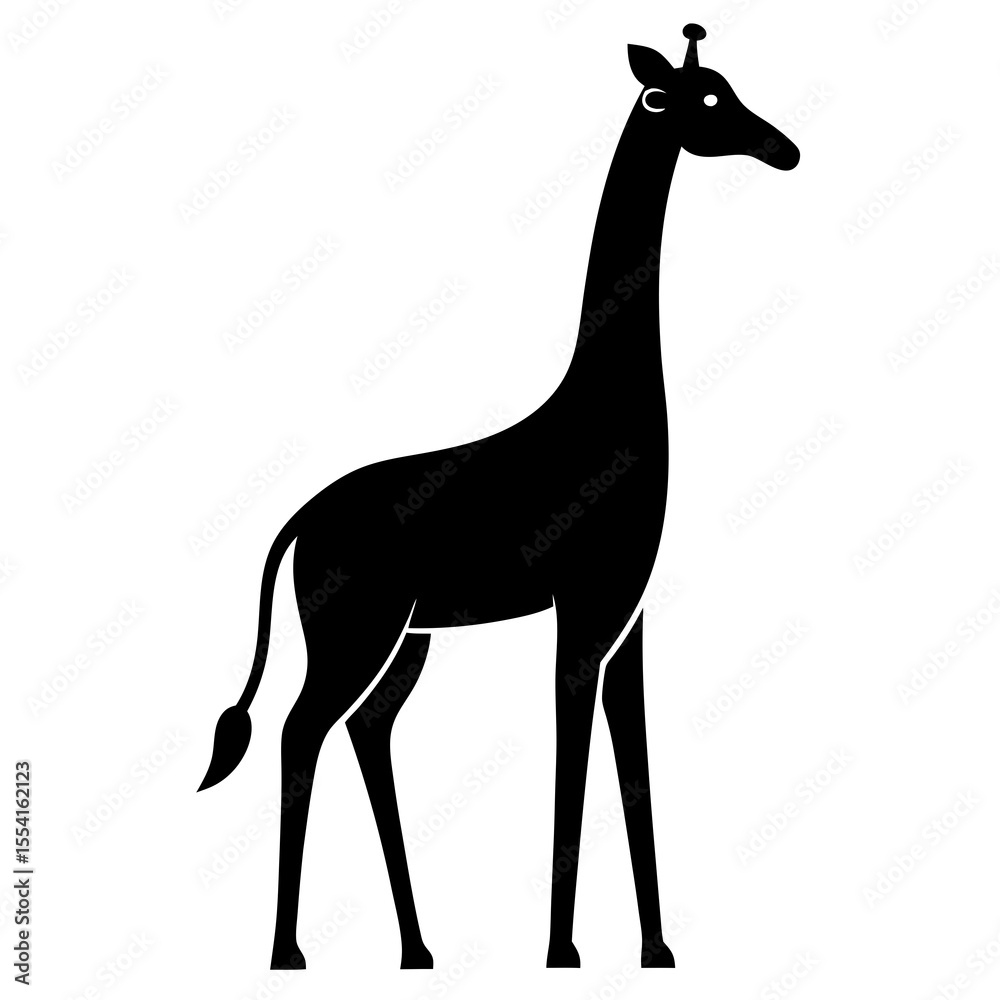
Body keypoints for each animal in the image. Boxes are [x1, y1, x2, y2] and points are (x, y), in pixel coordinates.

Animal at [199, 24, 799, 971]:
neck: (607, 409)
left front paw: (656, 949)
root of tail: (297, 524)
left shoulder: (628, 616)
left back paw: (416, 949)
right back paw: (288, 952)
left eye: (731, 91)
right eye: (706, 100)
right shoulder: (584, 610)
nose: (786, 149)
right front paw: (562, 952)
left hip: (406, 638)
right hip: (353, 630)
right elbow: (573, 756)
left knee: (367, 731)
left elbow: (635, 766)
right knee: (301, 731)